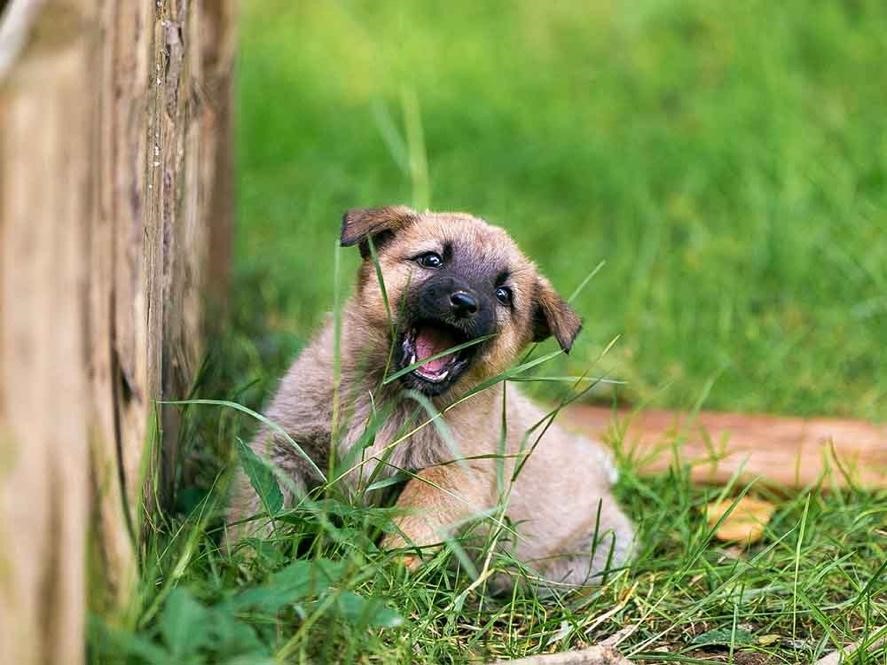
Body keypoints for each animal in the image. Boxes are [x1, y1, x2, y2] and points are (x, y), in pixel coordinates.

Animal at [227, 206, 632, 588]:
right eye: (432, 260)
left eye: (503, 294)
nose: (464, 302)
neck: (394, 397)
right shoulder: (281, 446)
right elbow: (257, 515)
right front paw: (244, 567)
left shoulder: (460, 475)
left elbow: (415, 512)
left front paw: (386, 573)